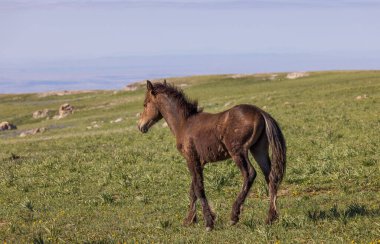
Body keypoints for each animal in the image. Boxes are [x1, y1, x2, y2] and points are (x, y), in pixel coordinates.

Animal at [138, 80, 286, 231]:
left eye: (145, 104)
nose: (140, 126)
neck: (184, 123)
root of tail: (261, 113)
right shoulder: (200, 162)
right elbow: (193, 189)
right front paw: (190, 219)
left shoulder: (191, 159)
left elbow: (198, 188)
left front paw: (208, 223)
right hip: (258, 150)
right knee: (271, 177)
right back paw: (270, 218)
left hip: (238, 152)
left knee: (250, 174)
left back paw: (234, 216)